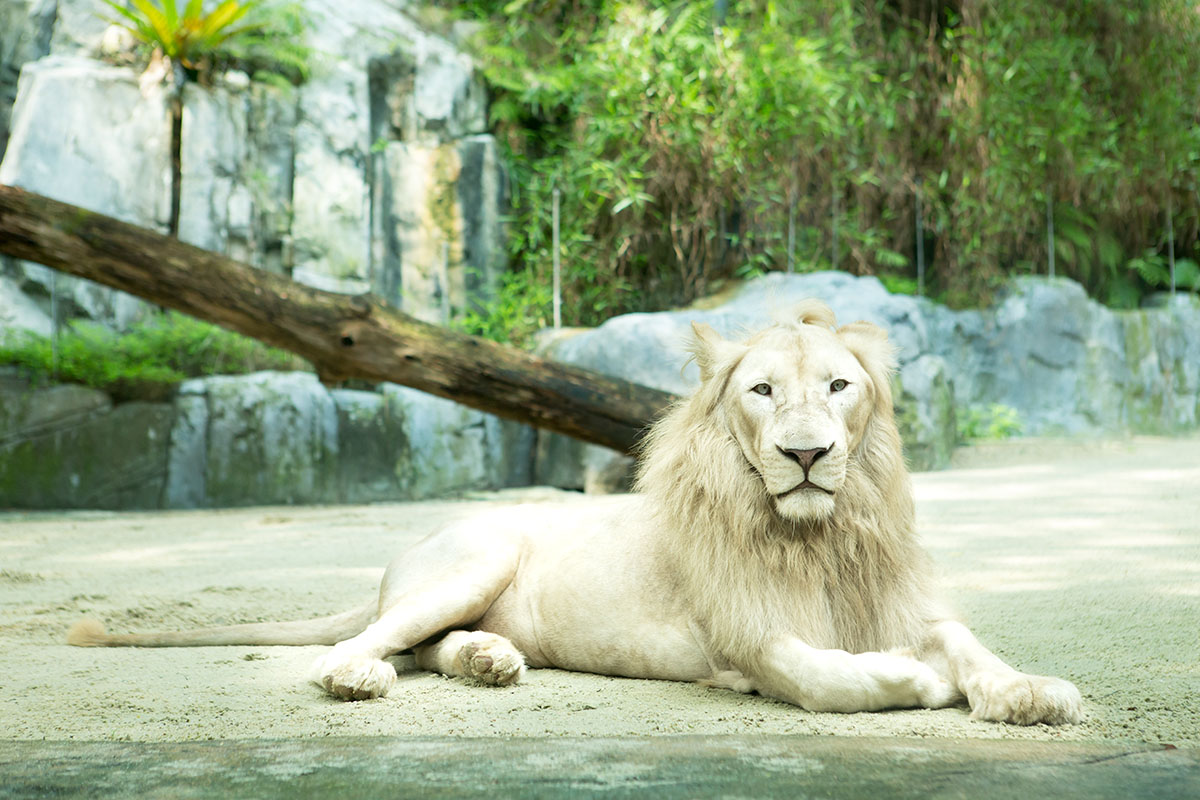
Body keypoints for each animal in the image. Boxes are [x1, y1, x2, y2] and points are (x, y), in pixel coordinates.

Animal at [68, 302, 1089, 724]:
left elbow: (965, 642)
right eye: (762, 392)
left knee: (425, 648)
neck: (817, 535)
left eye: (839, 386)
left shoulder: (898, 599)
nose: (806, 454)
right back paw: (364, 676)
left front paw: (1029, 692)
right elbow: (827, 675)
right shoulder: (746, 642)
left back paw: (489, 660)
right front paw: (915, 683)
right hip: (476, 554)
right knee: (358, 648)